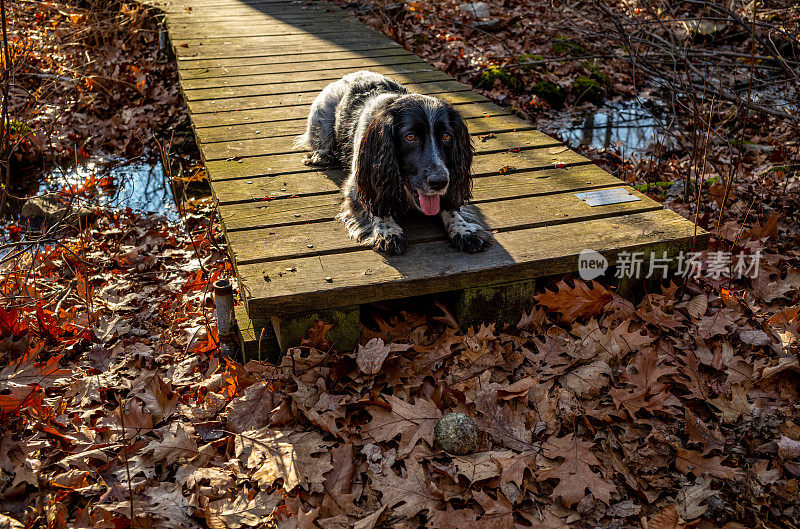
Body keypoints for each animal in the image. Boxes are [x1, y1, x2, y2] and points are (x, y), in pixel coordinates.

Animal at [296, 70, 490, 256]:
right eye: (410, 137)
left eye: (446, 136)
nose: (439, 182)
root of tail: (353, 74)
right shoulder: (359, 185)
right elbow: (374, 205)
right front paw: (388, 232)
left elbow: (451, 208)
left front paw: (464, 230)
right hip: (321, 118)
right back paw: (322, 155)